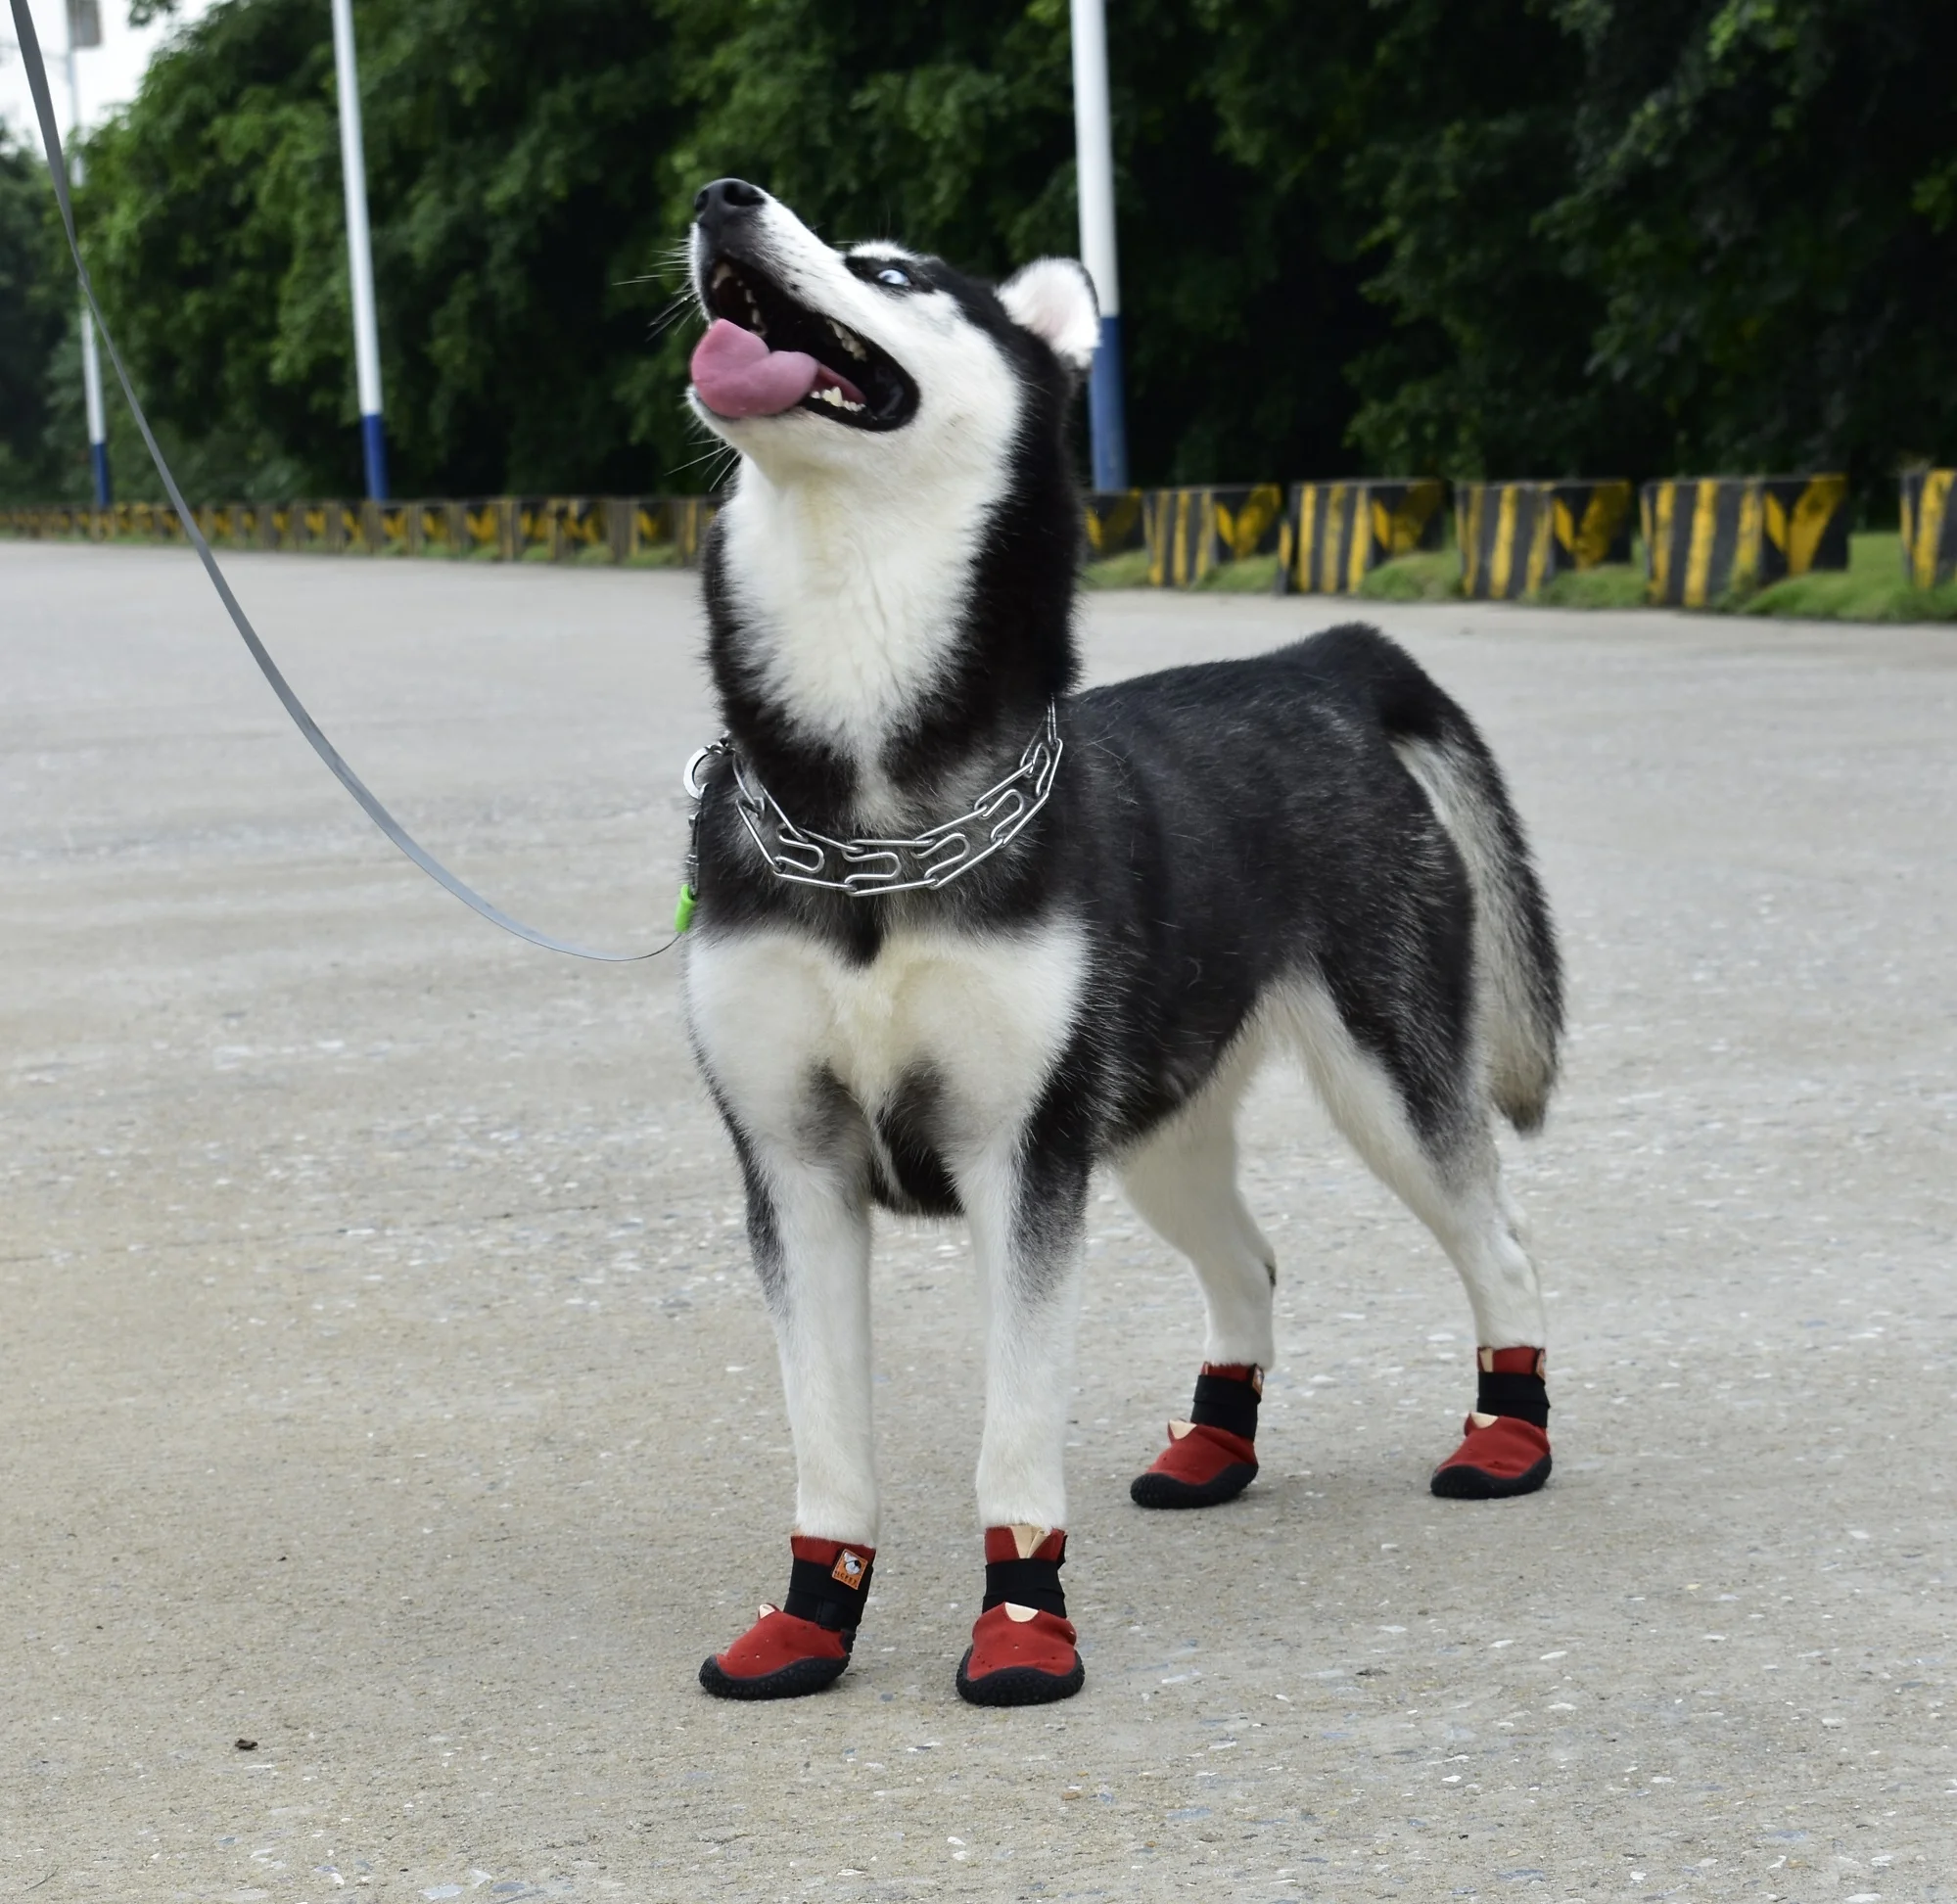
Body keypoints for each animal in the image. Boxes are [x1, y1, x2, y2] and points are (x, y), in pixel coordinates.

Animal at [680, 170, 1565, 1698]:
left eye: (890, 270)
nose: (722, 194)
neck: (863, 809)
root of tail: (1312, 660)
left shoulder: (1020, 1161)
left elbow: (1012, 1435)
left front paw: (1022, 1621)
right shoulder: (792, 1166)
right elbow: (827, 1441)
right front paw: (809, 1616)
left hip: (1381, 1076)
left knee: (1495, 1238)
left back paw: (1507, 1434)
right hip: (1153, 1121)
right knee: (1248, 1262)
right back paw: (1216, 1443)